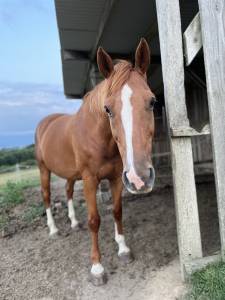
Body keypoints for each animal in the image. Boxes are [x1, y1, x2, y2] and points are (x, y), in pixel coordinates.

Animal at [35, 38, 156, 286]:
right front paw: (97, 268)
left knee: (69, 192)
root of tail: (45, 122)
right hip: (44, 170)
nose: (140, 178)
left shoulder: (117, 177)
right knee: (47, 196)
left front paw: (123, 250)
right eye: (107, 109)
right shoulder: (91, 180)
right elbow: (94, 220)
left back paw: (73, 223)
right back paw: (53, 230)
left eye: (152, 101)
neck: (97, 136)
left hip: (71, 175)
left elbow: (117, 211)